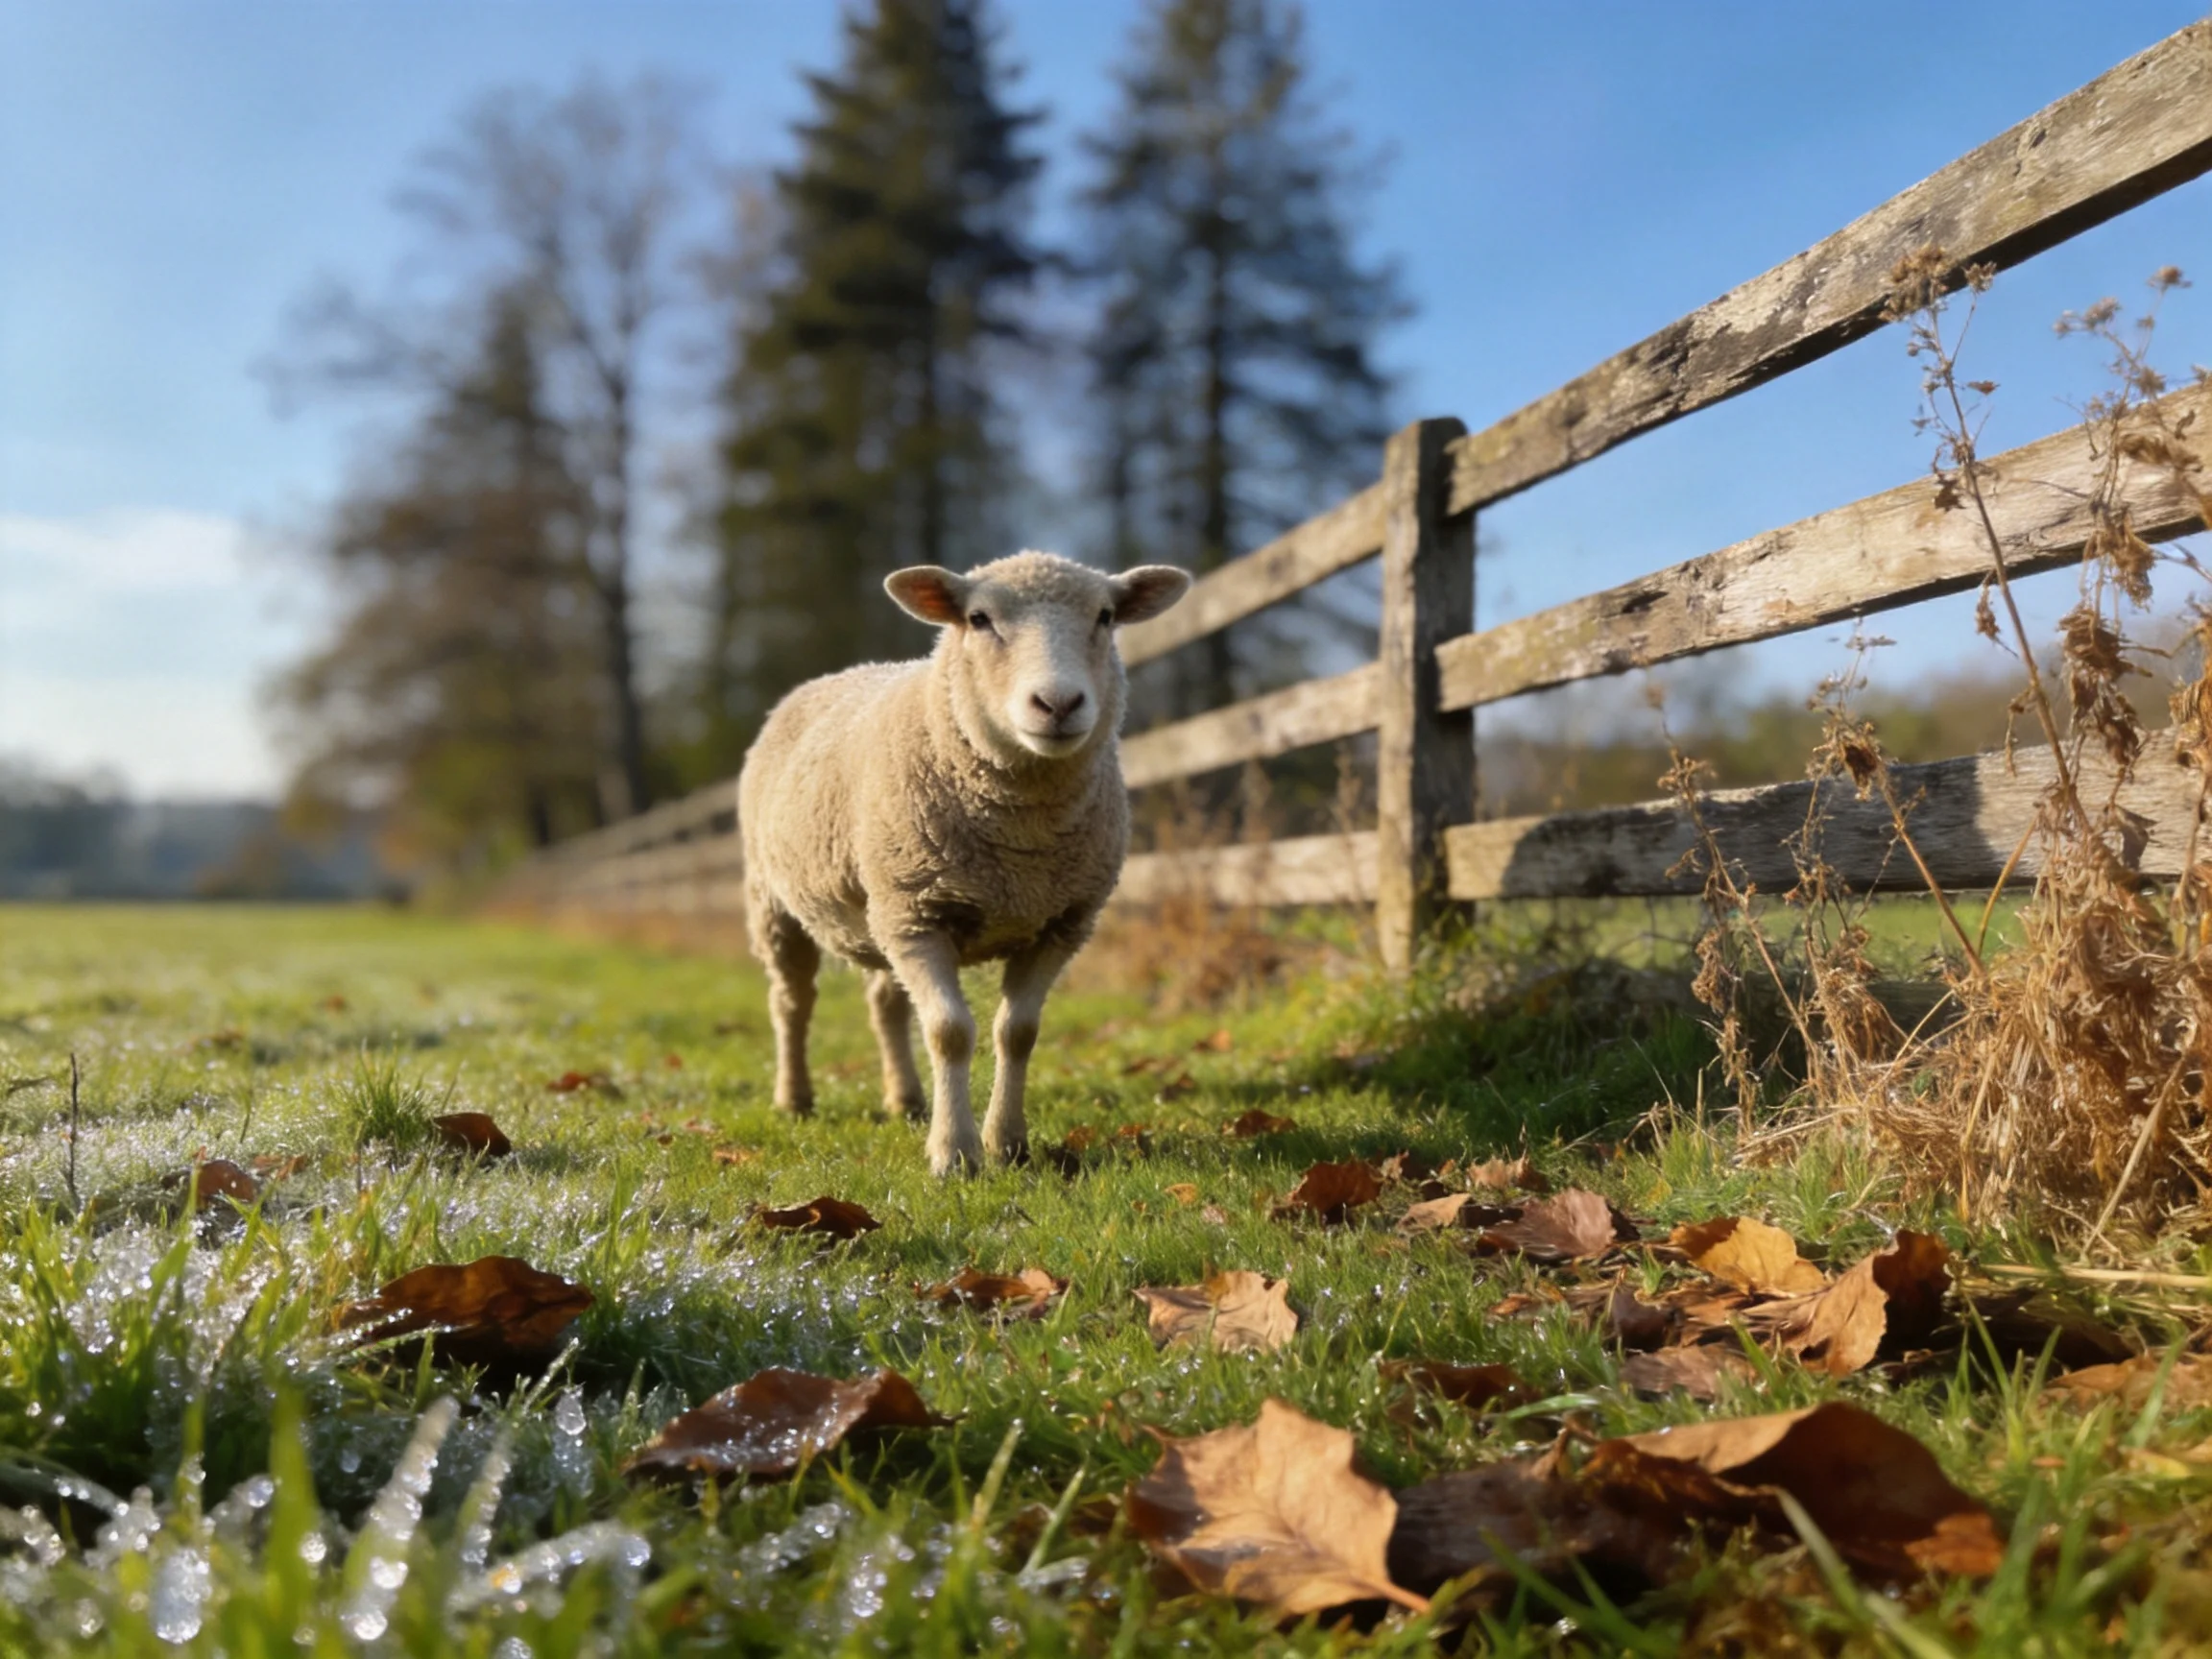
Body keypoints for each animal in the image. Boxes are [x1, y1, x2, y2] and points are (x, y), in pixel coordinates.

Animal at [736, 551, 1192, 1176]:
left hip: (881, 906)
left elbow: (1018, 1032)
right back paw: (794, 1098)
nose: (1058, 704)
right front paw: (954, 1154)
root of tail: (836, 674)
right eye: (978, 619)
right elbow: (950, 1032)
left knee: (885, 1005)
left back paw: (905, 1098)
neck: (1021, 848)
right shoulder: (919, 918)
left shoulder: (1058, 924)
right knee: (792, 1002)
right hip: (779, 902)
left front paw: (1009, 1144)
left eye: (1105, 616)